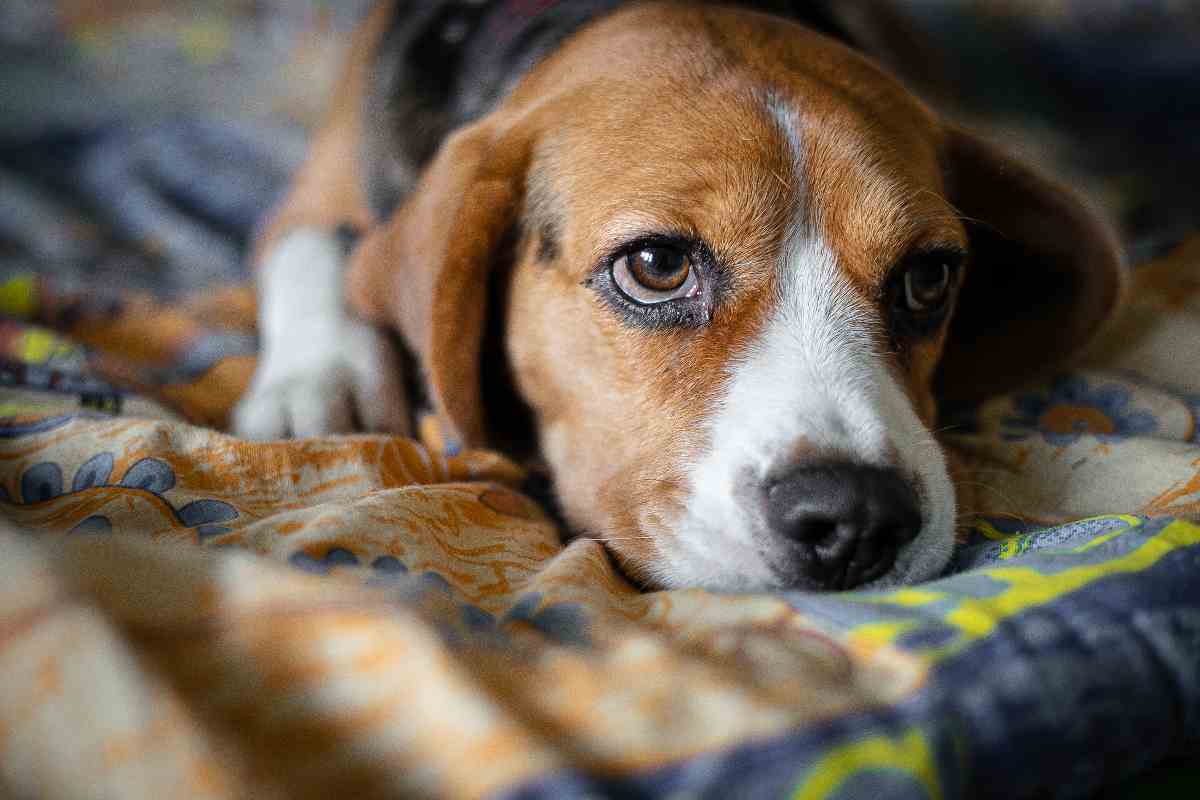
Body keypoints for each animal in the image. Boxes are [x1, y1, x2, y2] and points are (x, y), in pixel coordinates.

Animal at [231, 1, 1123, 594]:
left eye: (928, 276)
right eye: (656, 265)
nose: (857, 518)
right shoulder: (315, 191)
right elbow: (316, 247)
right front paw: (319, 383)